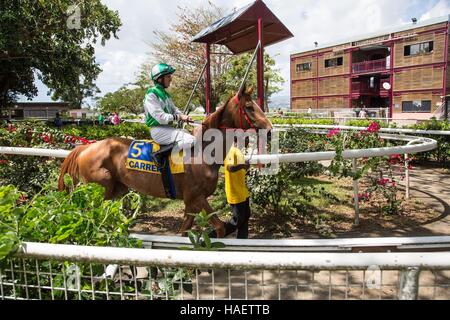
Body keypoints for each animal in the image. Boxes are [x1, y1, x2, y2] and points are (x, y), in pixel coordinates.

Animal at [58, 86, 272, 236]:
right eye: (249, 107)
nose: (270, 130)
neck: (203, 154)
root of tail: (85, 148)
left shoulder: (191, 202)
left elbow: (185, 231)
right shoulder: (196, 197)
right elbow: (219, 227)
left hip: (117, 190)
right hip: (99, 189)